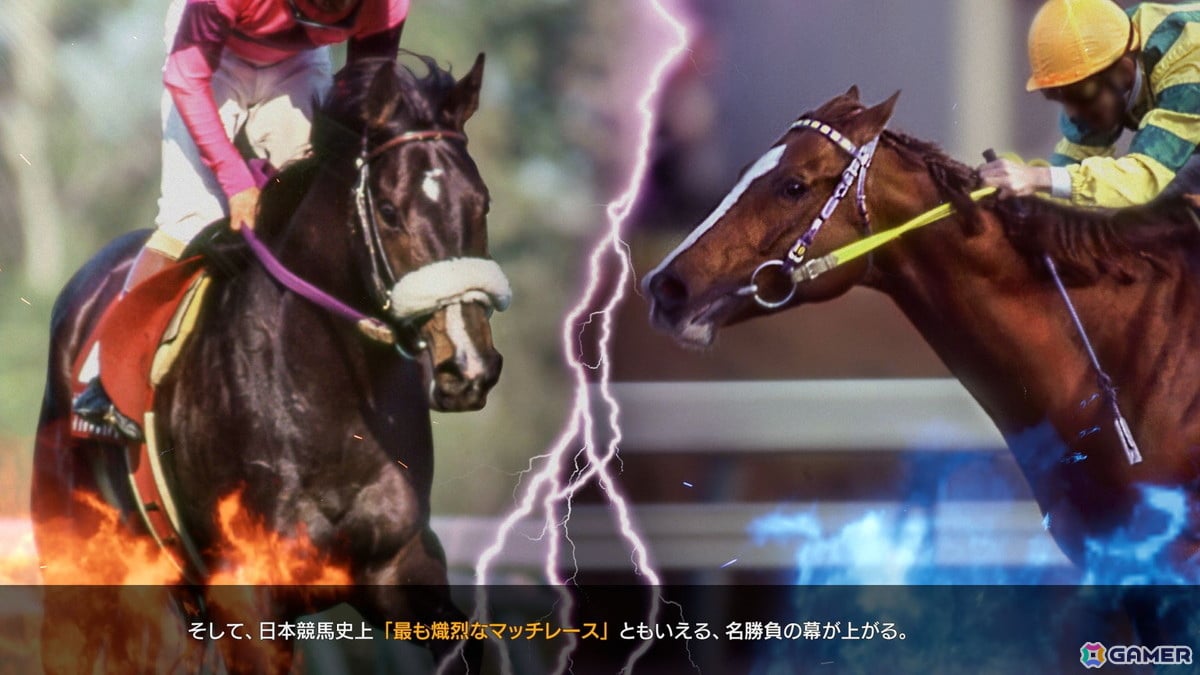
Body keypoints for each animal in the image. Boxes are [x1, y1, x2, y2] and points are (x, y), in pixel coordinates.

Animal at [31, 54, 504, 674]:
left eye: (481, 203)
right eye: (390, 211)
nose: (468, 364)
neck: (326, 398)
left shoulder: (399, 565)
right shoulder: (247, 589)